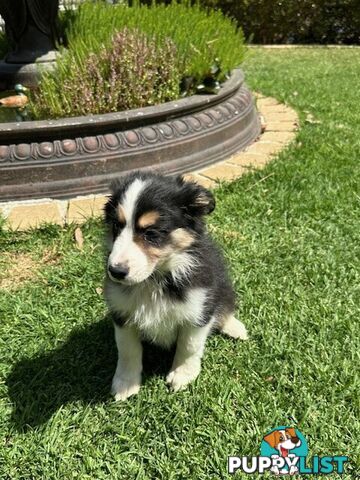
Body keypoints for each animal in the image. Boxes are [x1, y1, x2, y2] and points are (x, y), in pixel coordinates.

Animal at [104, 171, 248, 400]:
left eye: (152, 233)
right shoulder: (122, 312)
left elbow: (189, 345)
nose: (115, 271)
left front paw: (182, 375)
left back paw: (235, 328)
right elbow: (127, 349)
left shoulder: (199, 308)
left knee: (225, 307)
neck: (155, 280)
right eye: (116, 226)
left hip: (223, 287)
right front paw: (125, 384)